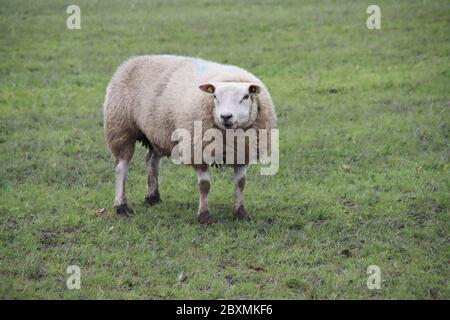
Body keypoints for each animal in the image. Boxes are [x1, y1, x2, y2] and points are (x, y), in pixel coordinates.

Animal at [103, 55, 276, 224]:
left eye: (246, 96)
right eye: (214, 96)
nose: (226, 116)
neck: (229, 136)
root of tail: (131, 60)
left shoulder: (242, 153)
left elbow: (241, 183)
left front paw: (241, 212)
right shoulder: (197, 150)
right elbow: (205, 185)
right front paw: (204, 216)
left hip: (157, 132)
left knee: (152, 161)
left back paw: (153, 197)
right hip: (120, 128)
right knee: (121, 167)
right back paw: (121, 206)